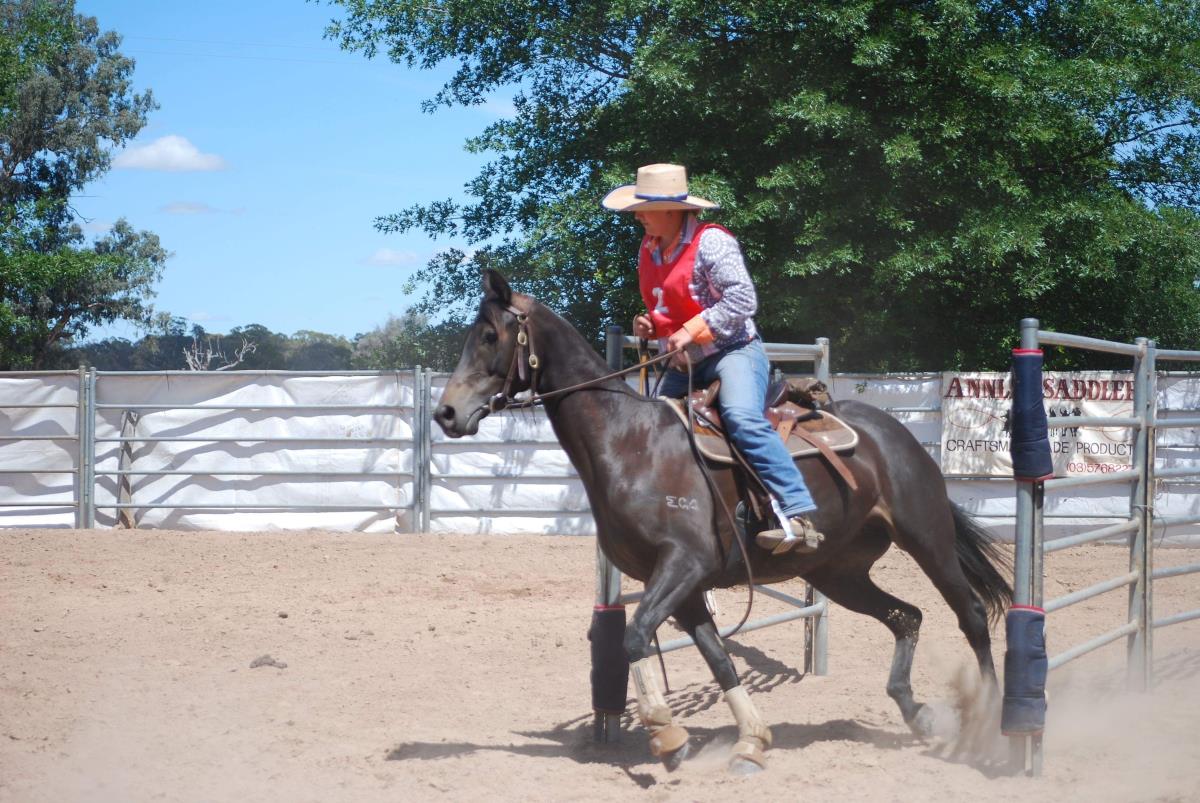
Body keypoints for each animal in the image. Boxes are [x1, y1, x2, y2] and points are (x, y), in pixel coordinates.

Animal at [434, 269, 1012, 774]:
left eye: (490, 335)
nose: (446, 413)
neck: (629, 442)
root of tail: (897, 435)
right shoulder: (684, 585)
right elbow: (718, 659)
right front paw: (751, 741)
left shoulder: (684, 565)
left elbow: (635, 637)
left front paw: (667, 734)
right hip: (838, 572)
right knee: (906, 616)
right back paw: (916, 713)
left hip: (927, 539)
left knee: (971, 614)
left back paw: (991, 722)